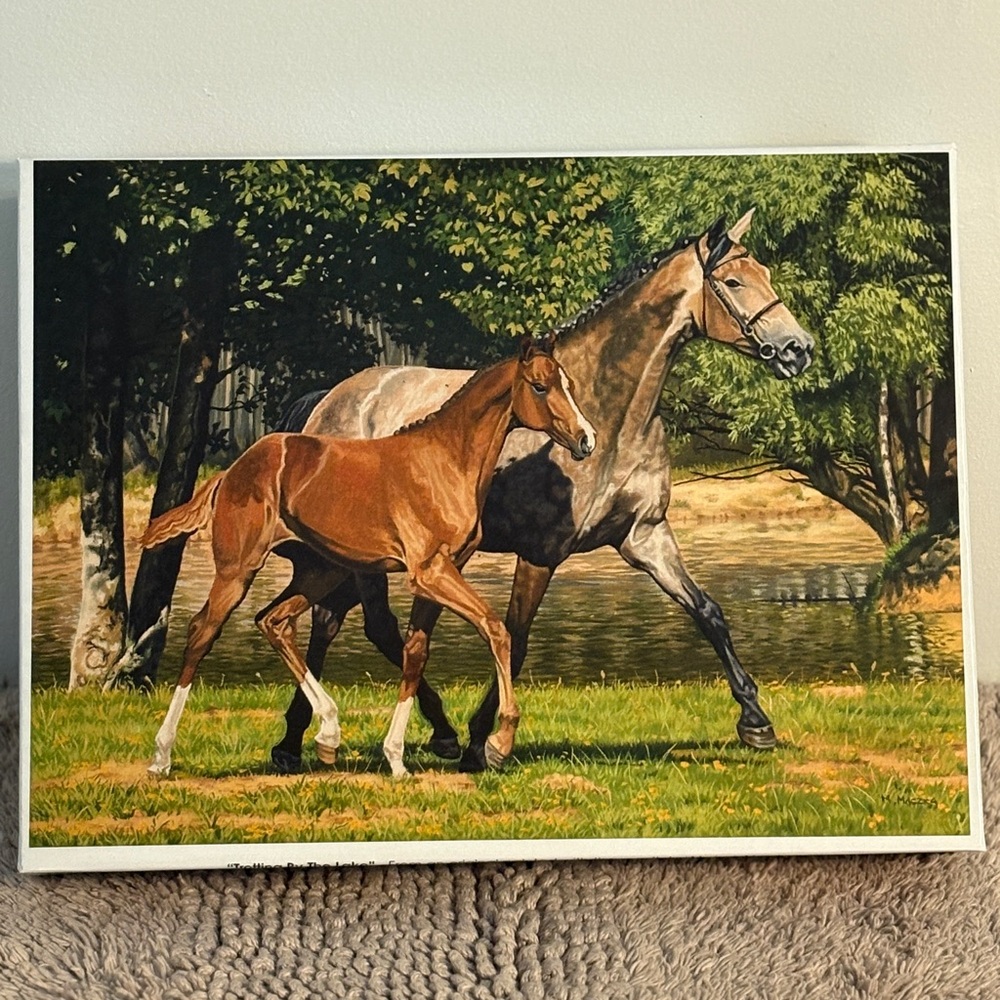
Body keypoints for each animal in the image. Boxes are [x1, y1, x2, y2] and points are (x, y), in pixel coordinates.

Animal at [140, 338, 596, 777]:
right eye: (540, 386)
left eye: (569, 384)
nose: (586, 439)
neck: (444, 462)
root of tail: (230, 472)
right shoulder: (429, 571)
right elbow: (495, 628)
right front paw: (500, 743)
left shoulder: (443, 571)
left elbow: (416, 652)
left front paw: (397, 758)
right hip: (238, 569)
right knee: (202, 633)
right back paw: (162, 755)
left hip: (321, 571)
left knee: (274, 621)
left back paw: (328, 734)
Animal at [271, 209, 816, 774]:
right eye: (733, 282)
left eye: (764, 274)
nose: (799, 349)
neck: (607, 413)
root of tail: (330, 400)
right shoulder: (540, 554)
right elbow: (516, 636)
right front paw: (484, 741)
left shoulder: (644, 536)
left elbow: (708, 612)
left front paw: (756, 722)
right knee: (366, 625)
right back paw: (397, 735)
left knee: (333, 620)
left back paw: (307, 740)